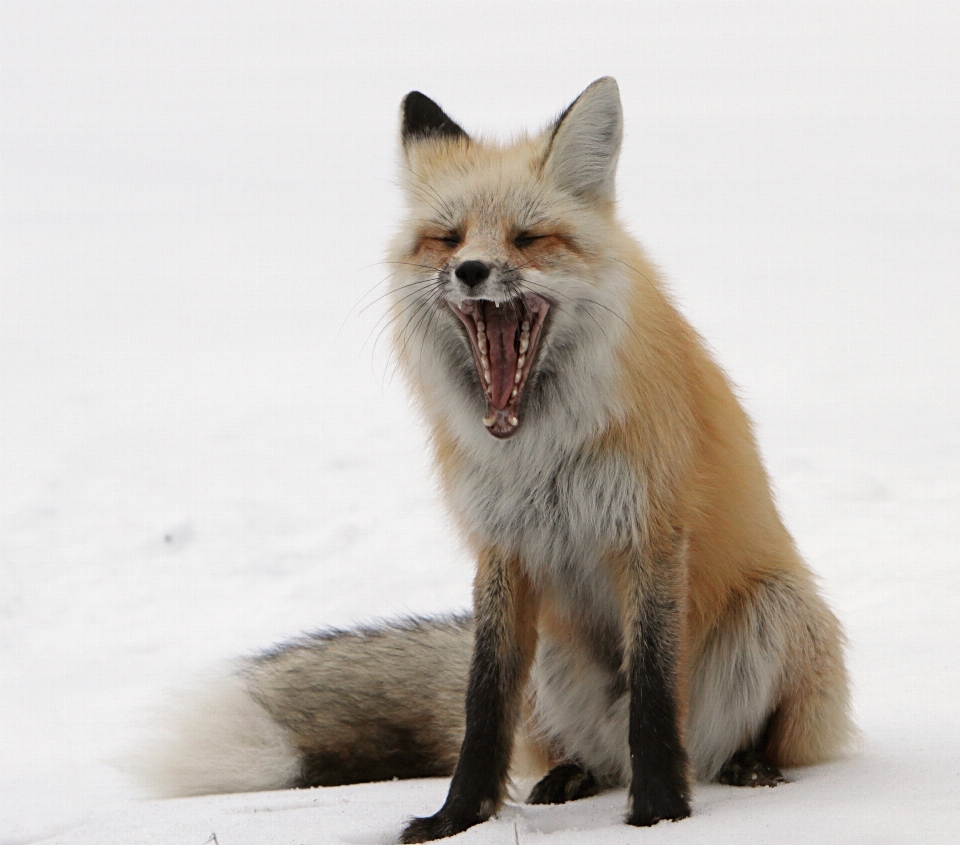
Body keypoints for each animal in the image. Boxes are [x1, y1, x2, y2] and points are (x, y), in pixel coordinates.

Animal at [131, 76, 852, 840]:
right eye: (447, 238)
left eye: (528, 238)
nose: (470, 270)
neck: (540, 452)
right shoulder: (502, 547)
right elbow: (483, 703)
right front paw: (457, 818)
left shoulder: (650, 534)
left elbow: (655, 695)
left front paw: (661, 813)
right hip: (555, 664)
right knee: (578, 751)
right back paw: (570, 775)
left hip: (777, 610)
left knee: (726, 738)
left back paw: (746, 764)